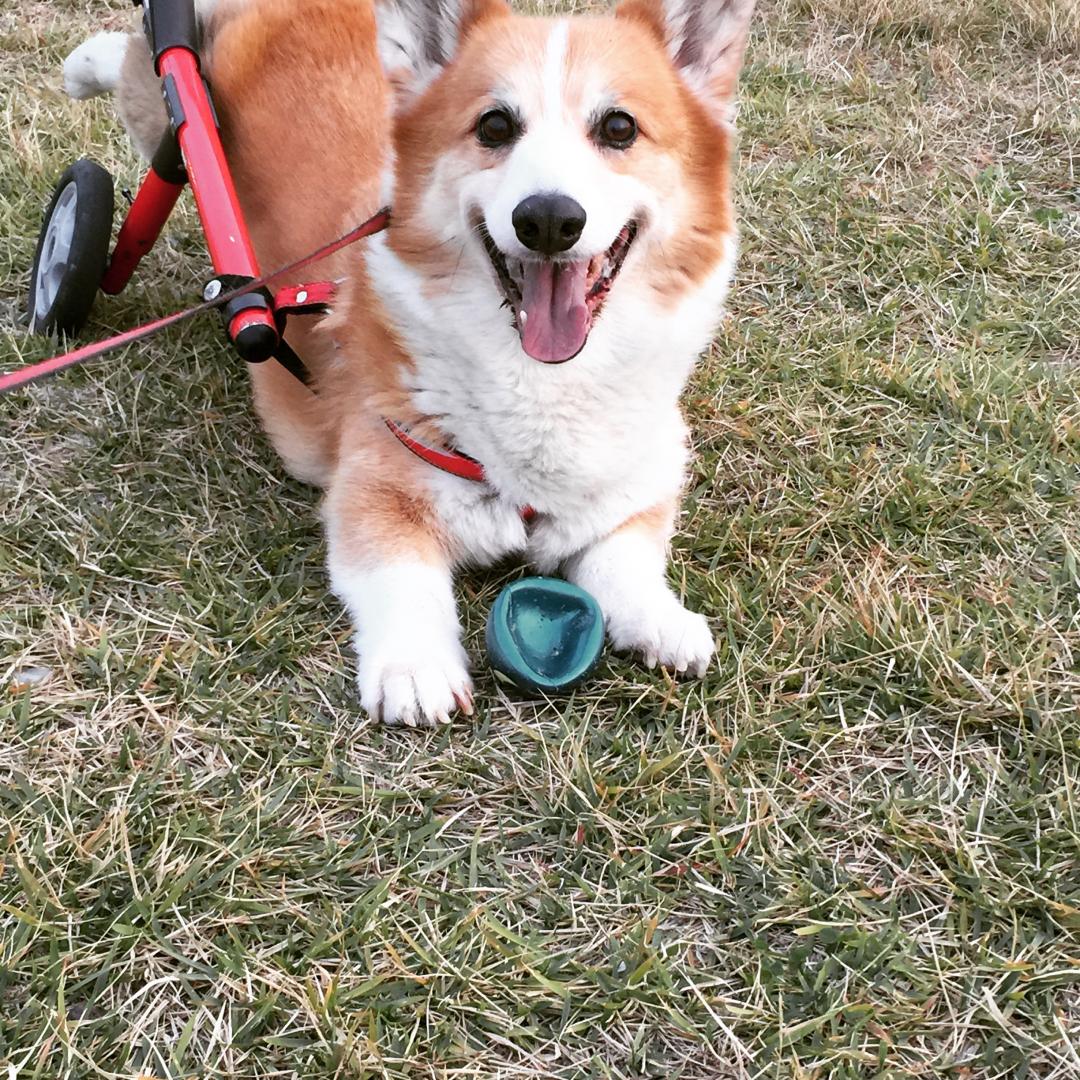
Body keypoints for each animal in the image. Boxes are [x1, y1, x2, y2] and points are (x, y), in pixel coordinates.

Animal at [61, 0, 751, 730]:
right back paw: (82, 79)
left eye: (619, 128)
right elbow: (402, 578)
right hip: (181, 116)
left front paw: (663, 622)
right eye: (495, 125)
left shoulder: (640, 478)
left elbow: (625, 560)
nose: (548, 219)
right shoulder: (372, 491)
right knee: (149, 78)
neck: (541, 379)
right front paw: (416, 668)